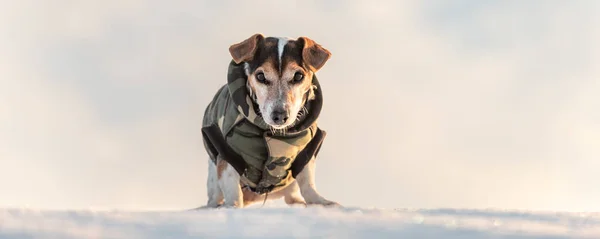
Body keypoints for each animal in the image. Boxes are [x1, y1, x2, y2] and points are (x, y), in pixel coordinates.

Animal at [198, 32, 336, 208]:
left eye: (298, 76)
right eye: (260, 76)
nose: (280, 115)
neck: (272, 132)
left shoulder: (307, 151)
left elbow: (307, 183)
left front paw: (321, 202)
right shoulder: (226, 154)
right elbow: (232, 190)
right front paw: (234, 206)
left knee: (292, 195)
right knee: (215, 196)